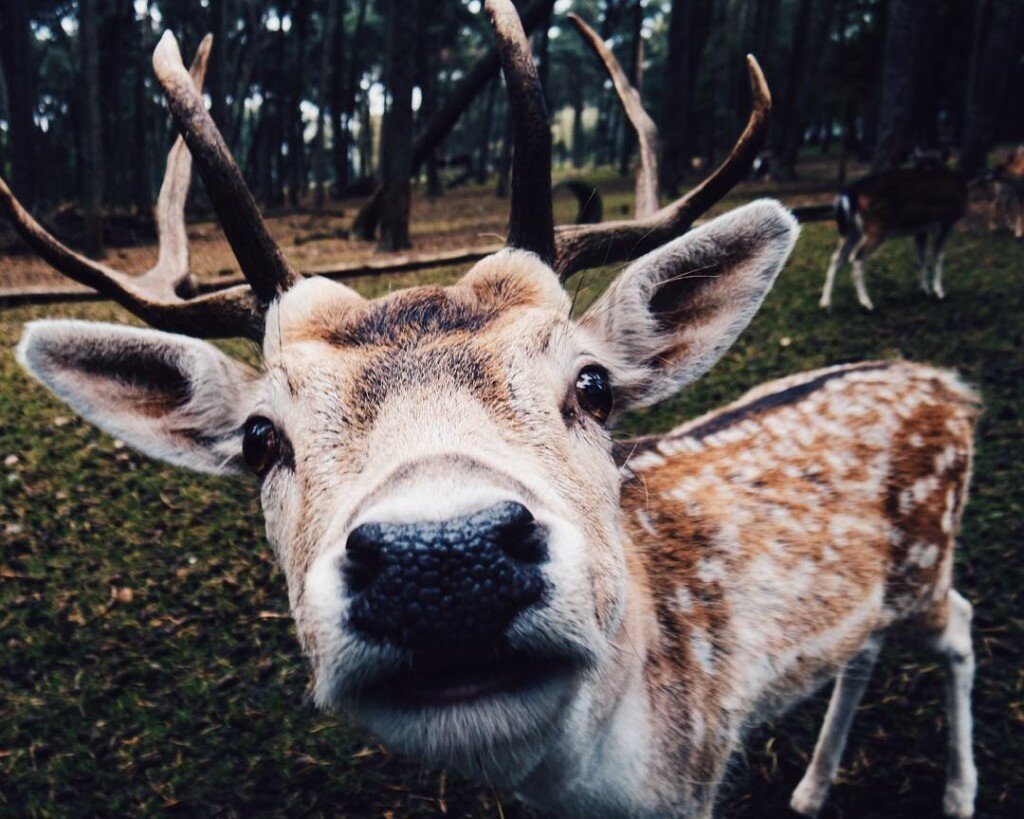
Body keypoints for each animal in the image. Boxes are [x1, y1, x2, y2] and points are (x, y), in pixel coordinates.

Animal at [815, 159, 966, 311]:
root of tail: (848, 194)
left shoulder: (921, 229)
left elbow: (922, 257)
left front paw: (924, 290)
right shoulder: (946, 221)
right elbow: (937, 256)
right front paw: (939, 292)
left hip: (851, 230)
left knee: (837, 256)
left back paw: (825, 302)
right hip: (876, 228)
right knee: (856, 257)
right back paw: (867, 303)